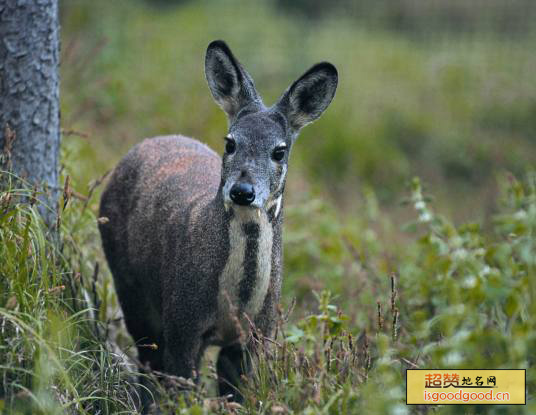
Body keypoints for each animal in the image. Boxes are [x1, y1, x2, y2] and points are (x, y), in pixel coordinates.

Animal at [98, 39, 338, 404]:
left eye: (279, 151)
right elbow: (181, 389)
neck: (234, 303)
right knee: (148, 360)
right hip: (129, 285)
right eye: (230, 142)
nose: (242, 191)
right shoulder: (182, 321)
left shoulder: (255, 337)